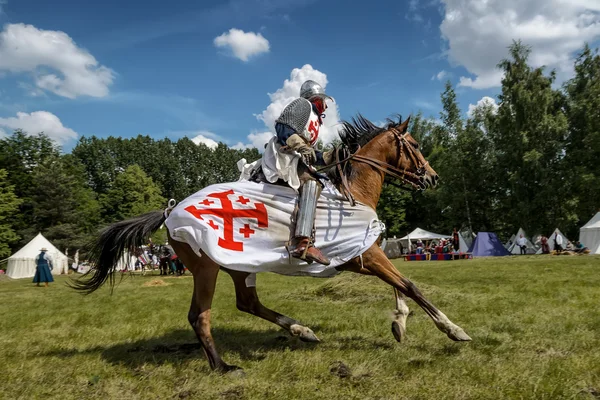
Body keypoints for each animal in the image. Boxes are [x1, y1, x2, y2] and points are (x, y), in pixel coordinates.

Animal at [72, 115, 472, 376]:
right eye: (415, 146)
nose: (433, 177)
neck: (352, 191)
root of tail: (171, 211)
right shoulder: (366, 255)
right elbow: (410, 284)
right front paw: (453, 330)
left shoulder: (363, 253)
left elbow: (398, 285)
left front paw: (400, 323)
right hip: (206, 267)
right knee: (200, 316)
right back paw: (223, 367)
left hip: (237, 267)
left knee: (247, 303)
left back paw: (301, 330)